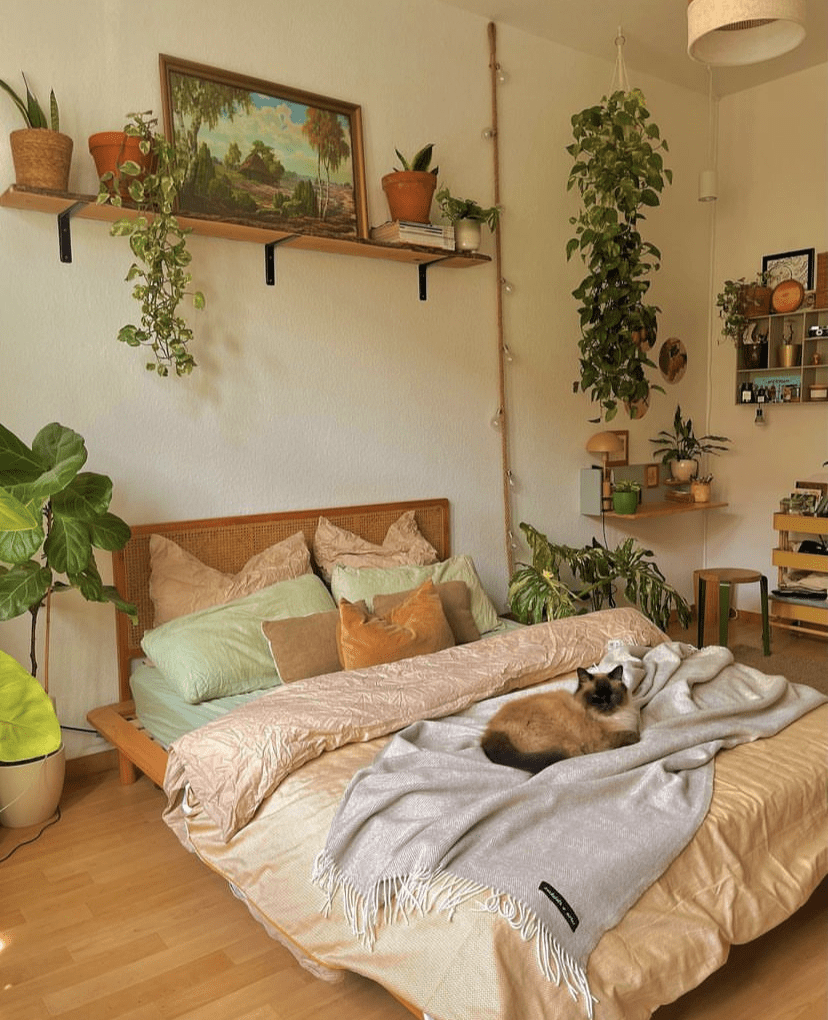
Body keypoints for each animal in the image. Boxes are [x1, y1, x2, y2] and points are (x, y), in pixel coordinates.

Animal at [479, 660, 640, 771]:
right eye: (596, 698)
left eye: (611, 695)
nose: (606, 704)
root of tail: (490, 732)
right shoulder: (605, 740)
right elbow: (633, 736)